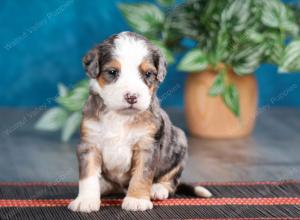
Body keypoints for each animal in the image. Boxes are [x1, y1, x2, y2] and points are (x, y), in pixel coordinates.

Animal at [68, 31, 211, 212]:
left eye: (148, 74)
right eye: (112, 72)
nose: (132, 97)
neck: (120, 116)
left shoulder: (147, 146)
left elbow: (141, 175)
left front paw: (136, 200)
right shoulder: (89, 144)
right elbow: (88, 176)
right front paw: (86, 200)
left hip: (179, 142)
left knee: (172, 179)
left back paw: (158, 189)